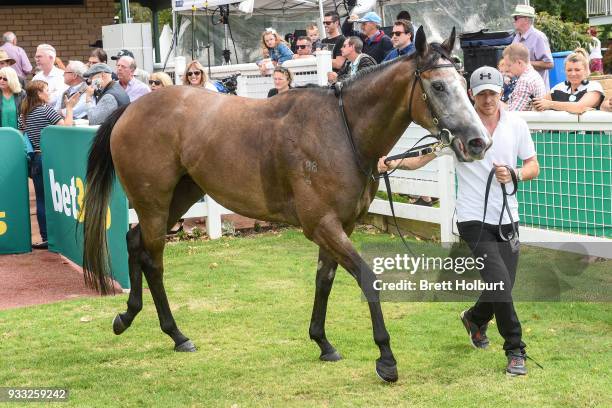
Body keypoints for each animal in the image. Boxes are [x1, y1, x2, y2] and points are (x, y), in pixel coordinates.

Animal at [82, 27, 492, 384]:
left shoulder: (339, 225)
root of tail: (132, 110)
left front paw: (323, 342)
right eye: (438, 86)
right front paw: (386, 359)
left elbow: (324, 280)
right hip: (153, 203)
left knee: (136, 242)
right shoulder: (322, 224)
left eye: (464, 83)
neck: (340, 131)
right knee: (152, 258)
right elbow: (367, 279)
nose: (478, 141)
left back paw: (131, 317)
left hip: (178, 198)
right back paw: (174, 332)